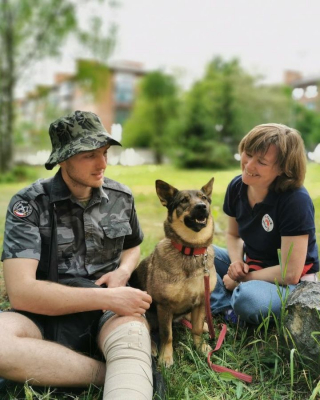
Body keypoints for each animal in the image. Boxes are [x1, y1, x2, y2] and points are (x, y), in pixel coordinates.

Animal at [131, 180, 218, 368]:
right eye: (184, 200)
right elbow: (167, 334)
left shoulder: (201, 301)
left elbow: (197, 329)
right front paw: (166, 357)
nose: (201, 207)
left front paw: (200, 347)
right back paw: (153, 347)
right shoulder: (164, 306)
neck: (190, 251)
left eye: (204, 198)